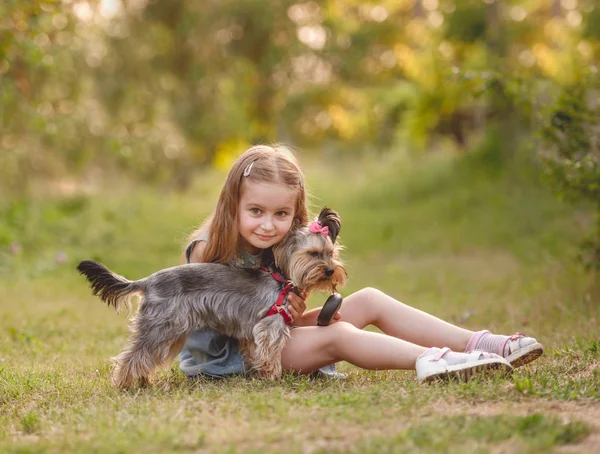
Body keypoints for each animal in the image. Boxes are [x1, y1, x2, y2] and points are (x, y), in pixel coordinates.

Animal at [77, 207, 346, 388]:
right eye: (313, 254)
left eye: (331, 253)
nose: (330, 270)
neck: (283, 278)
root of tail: (148, 281)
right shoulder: (270, 326)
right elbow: (270, 353)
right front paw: (272, 376)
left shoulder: (251, 332)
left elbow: (254, 353)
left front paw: (257, 373)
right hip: (162, 326)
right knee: (132, 356)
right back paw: (125, 385)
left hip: (170, 331)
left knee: (144, 356)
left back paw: (142, 381)